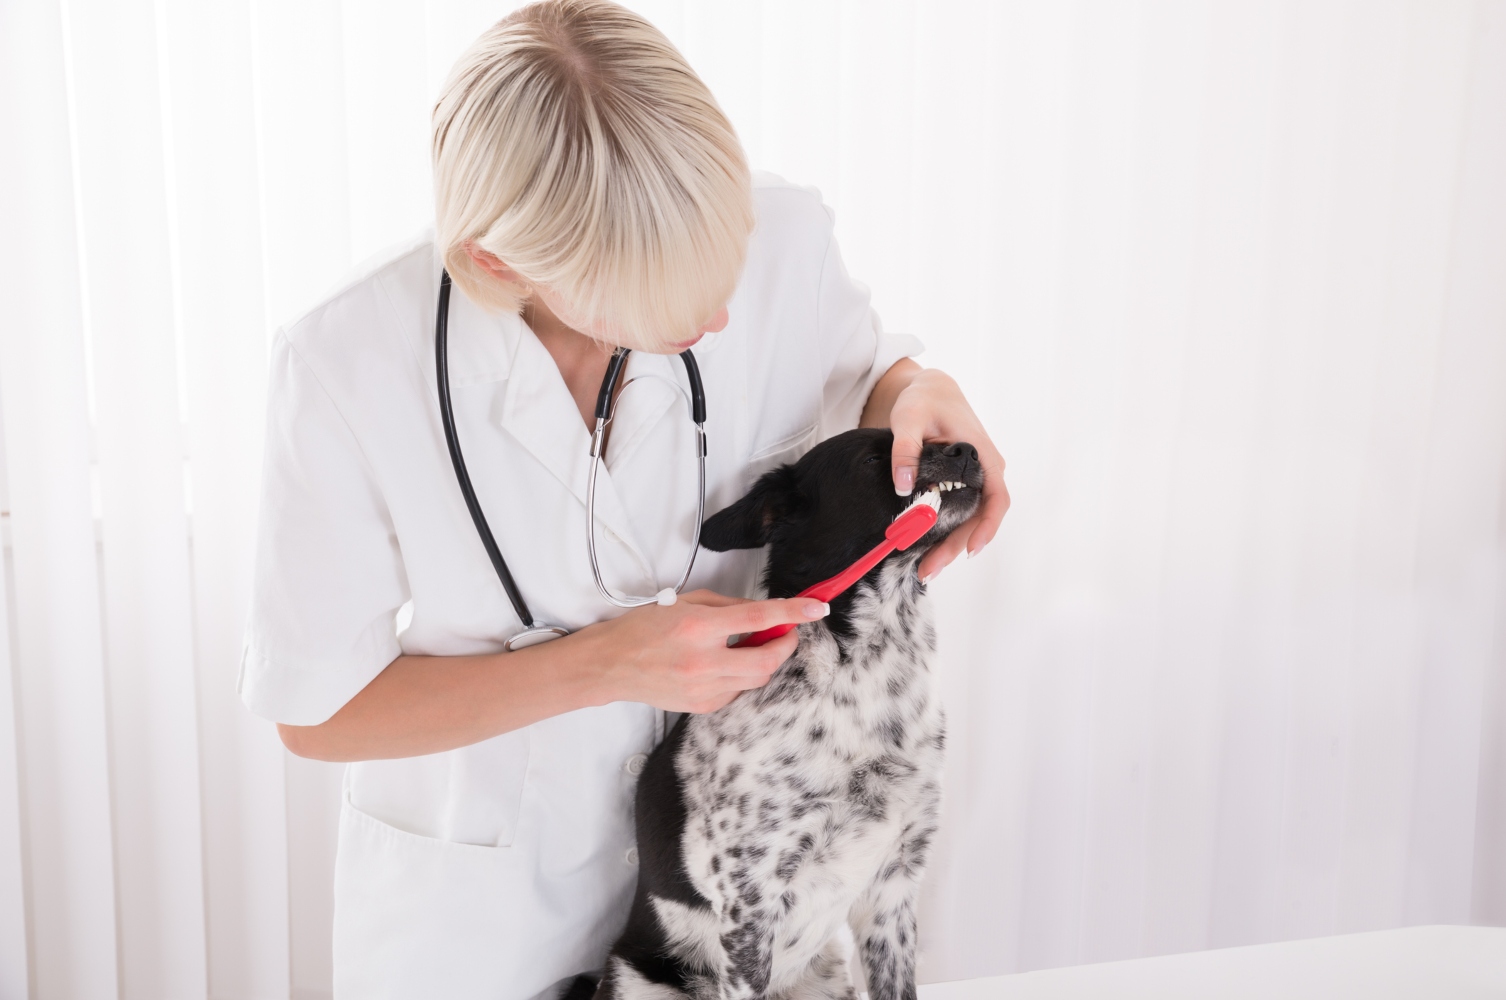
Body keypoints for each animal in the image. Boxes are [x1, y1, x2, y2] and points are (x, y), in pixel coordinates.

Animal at [581, 430, 981, 1000]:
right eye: (873, 459)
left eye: (923, 436)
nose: (968, 450)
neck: (864, 675)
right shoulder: (751, 904)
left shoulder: (895, 888)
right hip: (642, 979)